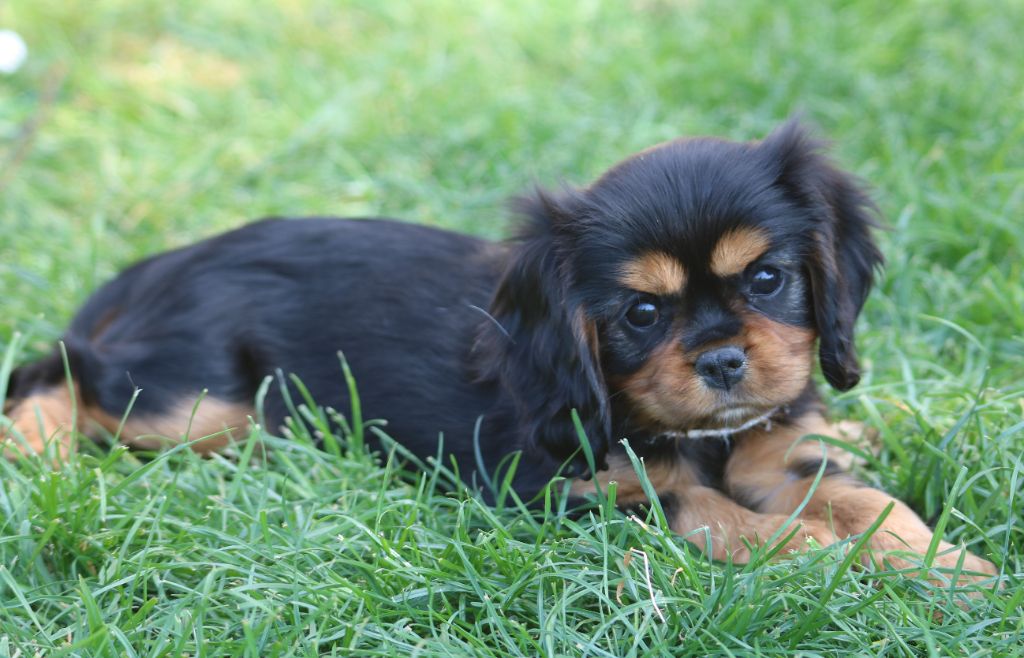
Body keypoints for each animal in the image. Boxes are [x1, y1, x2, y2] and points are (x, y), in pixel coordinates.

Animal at [2, 120, 997, 580]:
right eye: (640, 313)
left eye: (766, 280)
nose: (722, 362)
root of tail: (162, 265)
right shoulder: (567, 492)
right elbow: (710, 511)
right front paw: (819, 558)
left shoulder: (777, 453)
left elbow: (864, 497)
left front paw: (948, 569)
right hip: (200, 403)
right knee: (60, 367)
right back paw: (37, 453)